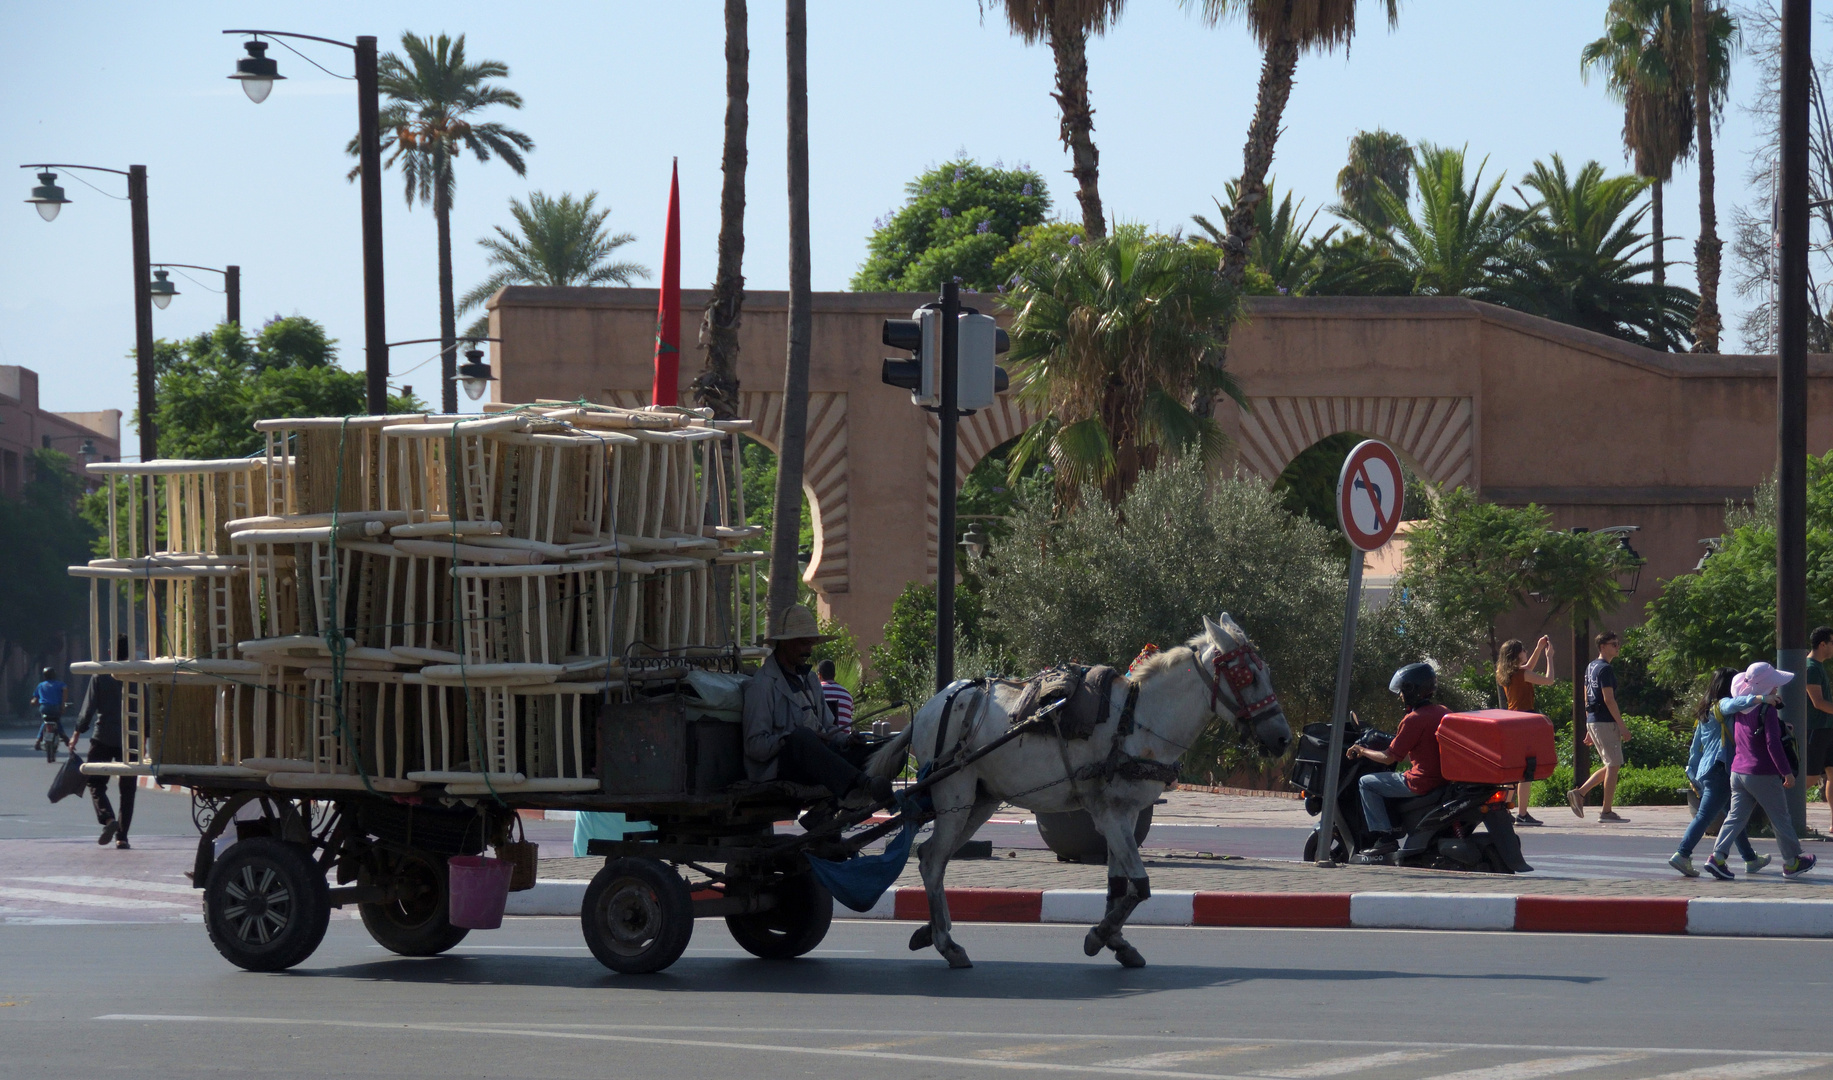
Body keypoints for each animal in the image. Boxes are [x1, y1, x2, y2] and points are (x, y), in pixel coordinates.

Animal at [868, 616, 1290, 968]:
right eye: (1246, 675)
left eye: (1266, 671)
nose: (1283, 738)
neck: (1138, 719)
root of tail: (931, 706)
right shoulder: (1110, 814)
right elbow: (1140, 886)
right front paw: (1098, 936)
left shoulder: (1126, 814)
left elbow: (1119, 884)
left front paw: (1117, 941)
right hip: (954, 794)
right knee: (932, 859)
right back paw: (945, 942)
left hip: (980, 800)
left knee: (932, 857)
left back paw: (933, 932)